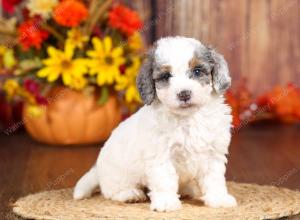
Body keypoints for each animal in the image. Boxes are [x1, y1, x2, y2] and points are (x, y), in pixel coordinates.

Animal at [73, 36, 237, 211]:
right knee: (112, 191)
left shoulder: (213, 153)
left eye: (197, 71)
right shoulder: (160, 155)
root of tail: (97, 170)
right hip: (118, 175)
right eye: (166, 76)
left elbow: (214, 179)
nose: (184, 94)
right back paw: (130, 194)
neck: (187, 119)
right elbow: (164, 179)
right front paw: (166, 202)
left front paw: (219, 199)